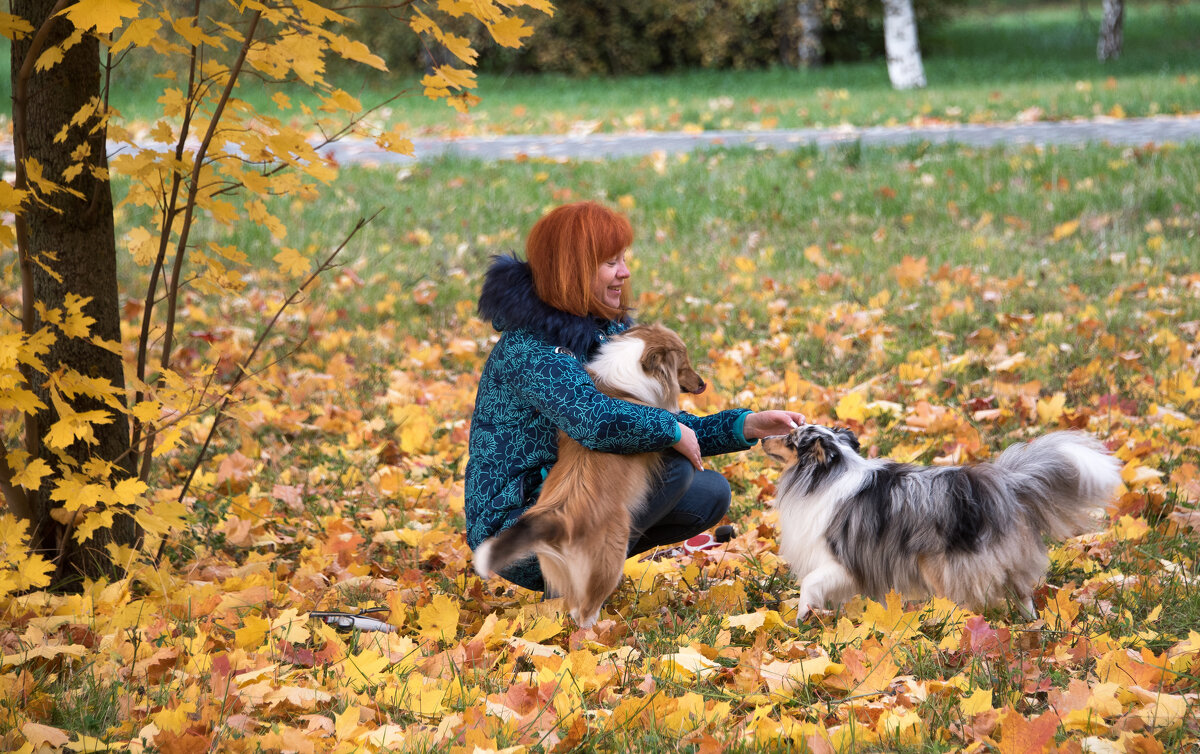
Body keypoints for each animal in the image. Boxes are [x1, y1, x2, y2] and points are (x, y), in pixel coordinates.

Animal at [475, 326, 705, 629]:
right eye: (683, 365)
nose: (703, 385)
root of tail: (561, 518)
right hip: (610, 556)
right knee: (585, 612)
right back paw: (604, 632)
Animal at [763, 425, 1118, 619]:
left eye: (791, 438)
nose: (763, 438)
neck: (825, 475)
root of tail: (1002, 486)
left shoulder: (843, 561)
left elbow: (809, 584)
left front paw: (802, 617)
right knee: (1022, 594)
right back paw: (1033, 626)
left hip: (941, 566)